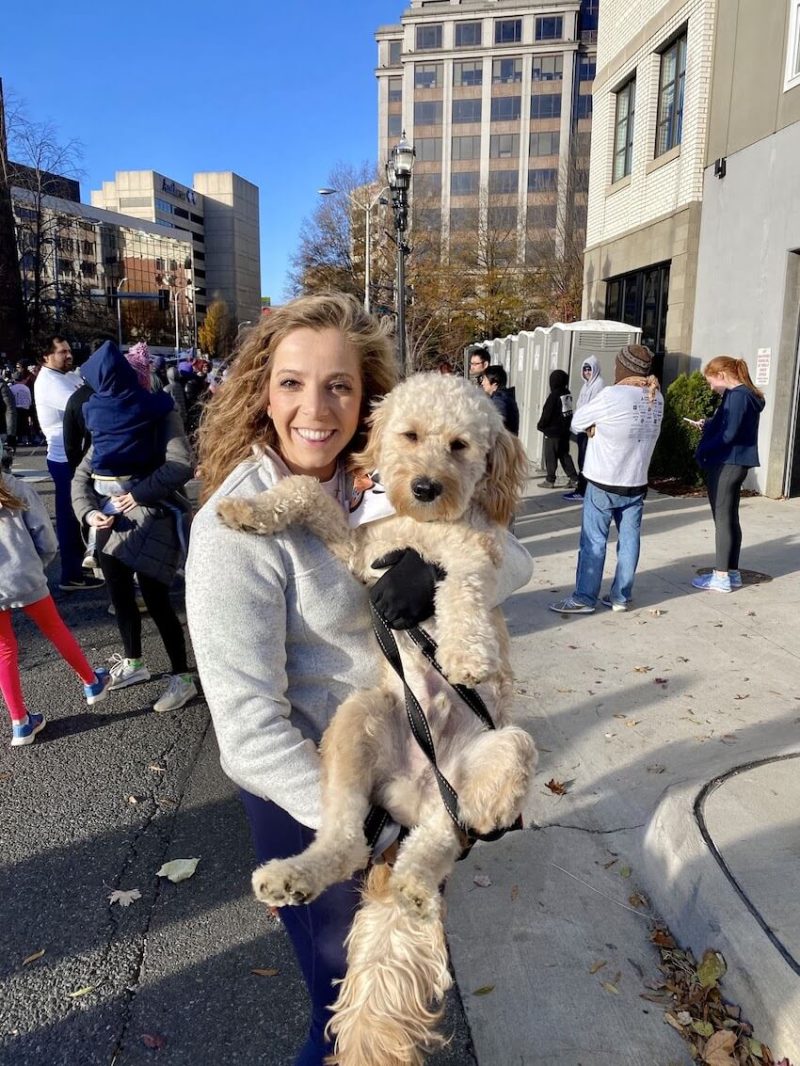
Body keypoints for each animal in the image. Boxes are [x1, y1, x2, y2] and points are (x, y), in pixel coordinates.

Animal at [217, 375, 539, 1066]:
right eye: (410, 435)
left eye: (460, 444)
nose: (425, 486)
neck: (423, 530)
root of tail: (419, 791)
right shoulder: (361, 556)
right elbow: (305, 491)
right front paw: (247, 512)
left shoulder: (473, 558)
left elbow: (461, 591)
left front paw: (467, 654)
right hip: (363, 718)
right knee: (347, 841)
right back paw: (294, 877)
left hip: (502, 753)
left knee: (448, 835)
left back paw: (416, 885)